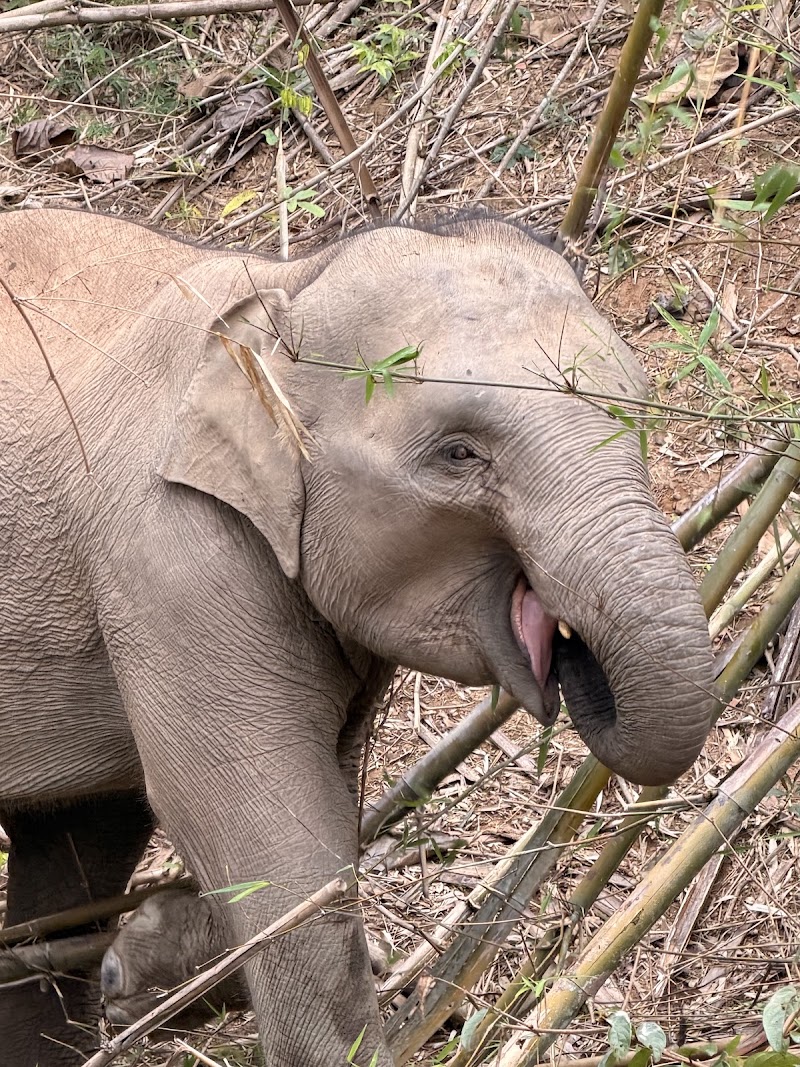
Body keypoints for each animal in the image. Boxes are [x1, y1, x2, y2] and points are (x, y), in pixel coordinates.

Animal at [0, 207, 715, 1066]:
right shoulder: (170, 557)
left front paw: (140, 956)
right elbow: (271, 834)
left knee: (74, 841)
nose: (569, 648)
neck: (284, 286)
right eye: (458, 453)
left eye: (638, 409)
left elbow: (322, 819)